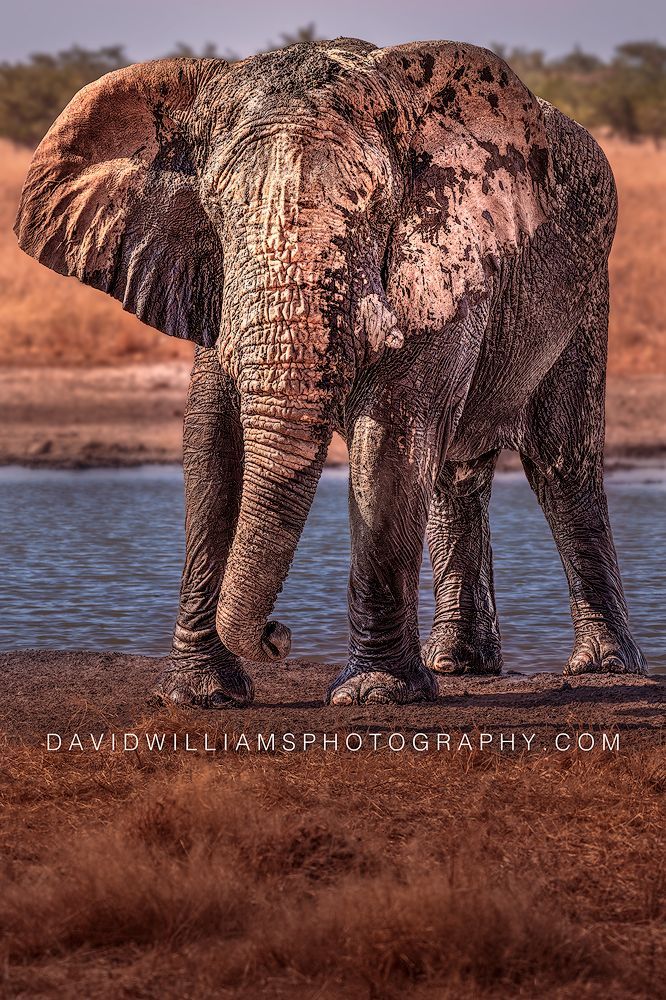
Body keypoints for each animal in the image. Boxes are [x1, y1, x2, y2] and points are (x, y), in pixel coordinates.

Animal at [14, 37, 647, 708]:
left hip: (587, 291)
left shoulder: (443, 258)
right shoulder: (209, 279)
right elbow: (211, 438)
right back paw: (458, 665)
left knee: (560, 462)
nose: (278, 635)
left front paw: (374, 694)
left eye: (374, 210)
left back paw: (604, 668)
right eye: (217, 211)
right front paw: (200, 694)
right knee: (456, 469)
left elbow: (392, 434)